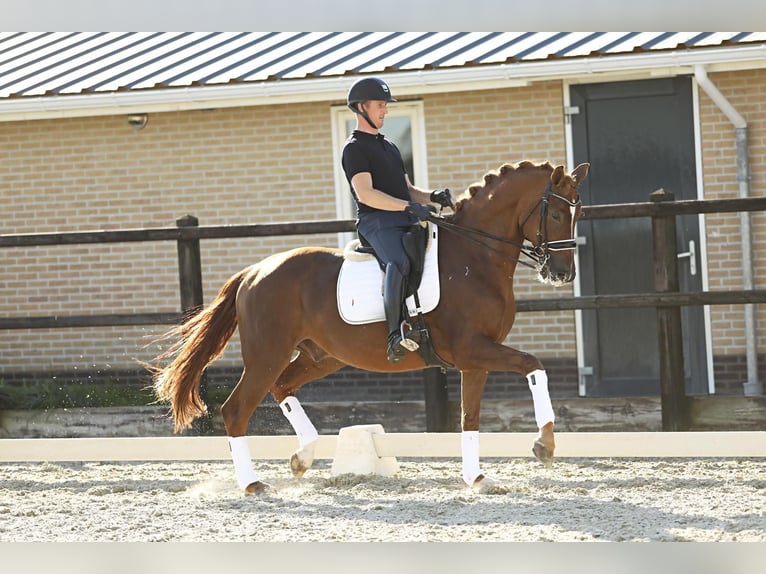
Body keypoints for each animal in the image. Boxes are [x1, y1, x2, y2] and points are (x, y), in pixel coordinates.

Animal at [153, 161, 592, 496]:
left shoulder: (476, 360)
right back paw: (253, 484)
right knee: (236, 410)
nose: (563, 274)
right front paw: (544, 445)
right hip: (267, 354)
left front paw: (478, 478)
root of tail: (254, 272)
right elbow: (535, 366)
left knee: (283, 387)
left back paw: (302, 458)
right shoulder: (472, 349)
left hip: (320, 356)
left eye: (579, 214)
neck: (474, 258)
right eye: (556, 214)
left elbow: (471, 417)